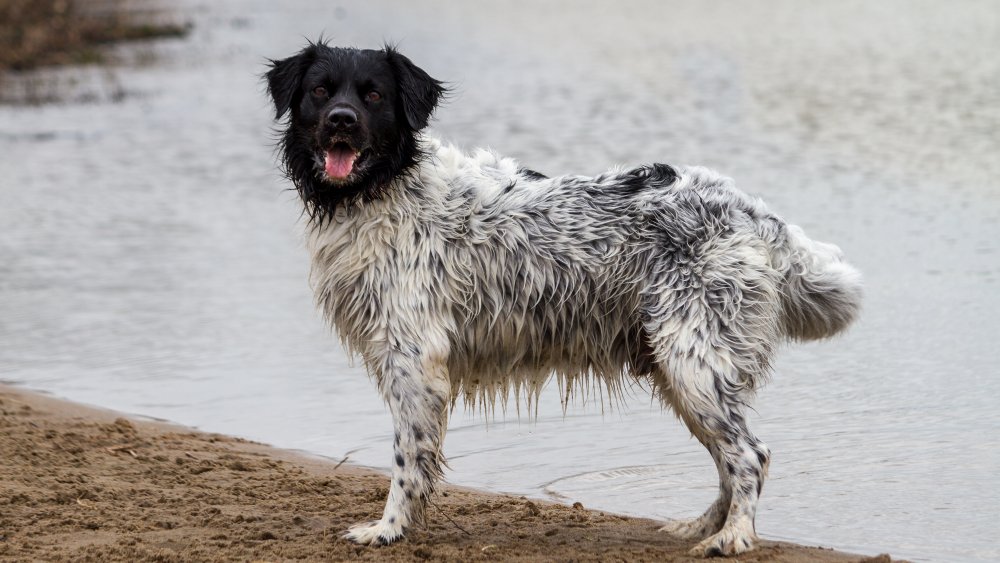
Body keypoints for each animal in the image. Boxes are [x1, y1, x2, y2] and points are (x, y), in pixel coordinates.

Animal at [264, 41, 860, 556]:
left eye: (373, 96)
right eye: (320, 91)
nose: (342, 120)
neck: (383, 190)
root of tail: (754, 214)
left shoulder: (415, 361)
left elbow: (408, 460)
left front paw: (389, 529)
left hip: (693, 362)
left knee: (749, 454)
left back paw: (732, 537)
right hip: (681, 368)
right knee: (727, 459)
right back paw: (700, 525)